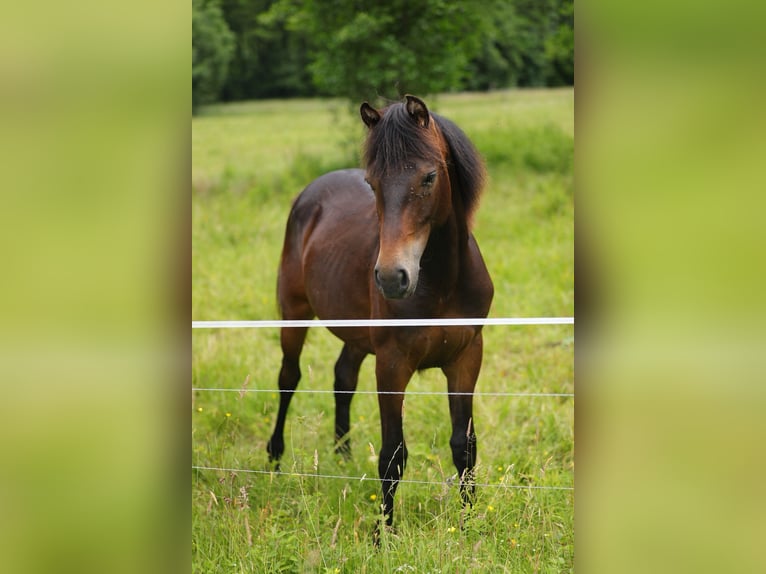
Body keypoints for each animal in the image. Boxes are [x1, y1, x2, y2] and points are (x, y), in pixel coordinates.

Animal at [266, 95, 494, 536]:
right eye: (372, 183)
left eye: (428, 177)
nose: (391, 277)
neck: (442, 283)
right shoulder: (392, 363)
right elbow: (393, 455)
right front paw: (384, 534)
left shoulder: (466, 358)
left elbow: (465, 447)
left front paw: (470, 524)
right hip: (294, 313)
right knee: (288, 379)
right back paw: (275, 458)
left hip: (357, 336)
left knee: (342, 378)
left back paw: (342, 457)